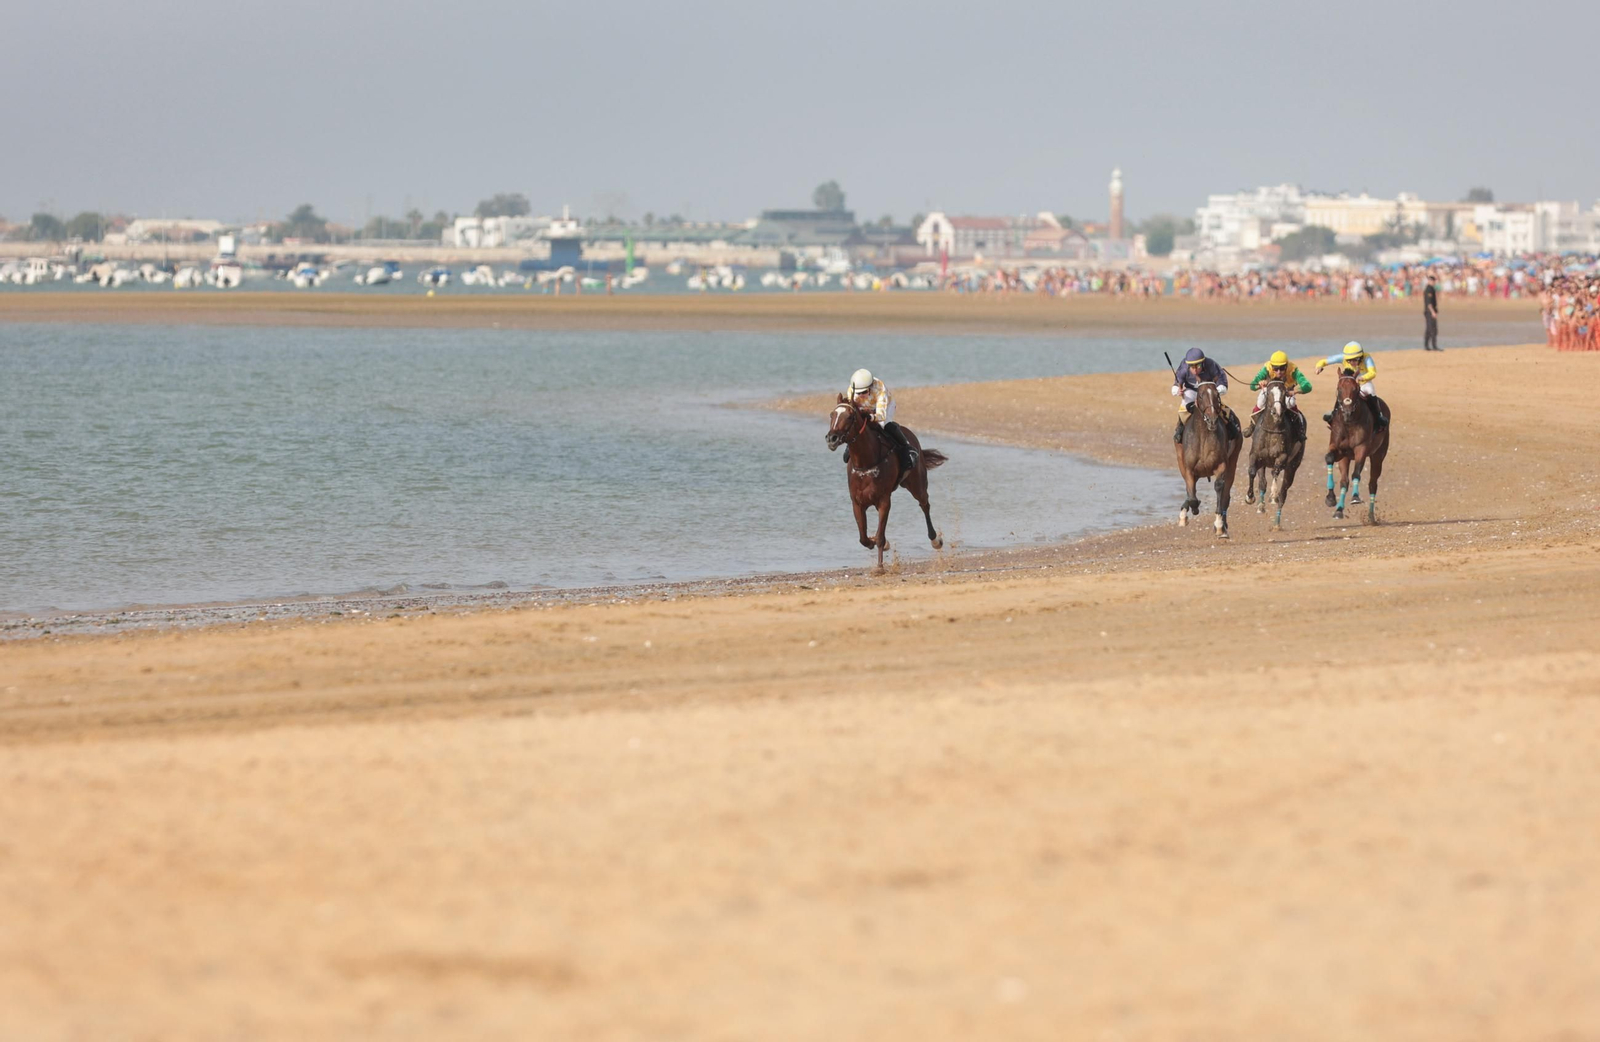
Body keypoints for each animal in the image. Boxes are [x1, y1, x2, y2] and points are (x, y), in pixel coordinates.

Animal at [826, 397, 947, 570]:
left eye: (849, 417)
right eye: (832, 414)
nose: (832, 438)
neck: (866, 463)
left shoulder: (884, 501)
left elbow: (880, 536)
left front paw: (879, 567)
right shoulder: (857, 502)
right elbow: (863, 538)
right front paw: (876, 543)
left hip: (917, 484)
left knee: (924, 505)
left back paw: (935, 540)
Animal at [1175, 381, 1242, 537]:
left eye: (1217, 395)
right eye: (1200, 395)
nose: (1212, 420)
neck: (1203, 436)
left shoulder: (1222, 465)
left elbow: (1219, 487)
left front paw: (1219, 525)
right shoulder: (1188, 468)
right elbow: (1191, 494)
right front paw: (1190, 510)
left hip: (1233, 461)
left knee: (1226, 495)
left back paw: (1223, 526)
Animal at [1243, 380, 1305, 530]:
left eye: (1284, 393)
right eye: (1269, 393)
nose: (1276, 412)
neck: (1272, 429)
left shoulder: (1282, 457)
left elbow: (1275, 472)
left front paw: (1273, 495)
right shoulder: (1256, 456)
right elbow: (1252, 472)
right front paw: (1250, 497)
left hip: (1293, 466)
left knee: (1283, 493)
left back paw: (1276, 523)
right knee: (1262, 483)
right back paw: (1261, 506)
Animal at [1323, 374, 1390, 523]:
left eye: (1356, 389)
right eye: (1339, 389)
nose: (1347, 412)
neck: (1349, 423)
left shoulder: (1361, 449)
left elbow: (1356, 473)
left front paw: (1355, 497)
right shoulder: (1339, 450)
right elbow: (1330, 459)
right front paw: (1330, 498)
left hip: (1378, 455)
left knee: (1372, 484)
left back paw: (1371, 516)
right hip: (1346, 458)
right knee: (1344, 481)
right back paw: (1339, 510)